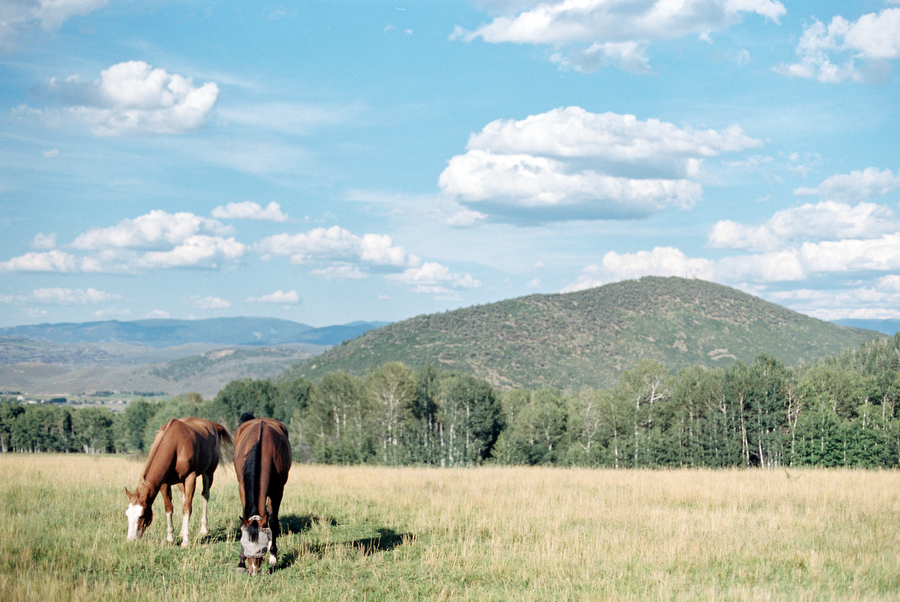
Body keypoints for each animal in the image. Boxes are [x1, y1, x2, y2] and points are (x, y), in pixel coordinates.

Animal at [232, 412, 292, 572]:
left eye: (261, 548)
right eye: (245, 542)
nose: (253, 570)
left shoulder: (278, 490)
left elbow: (273, 521)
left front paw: (273, 557)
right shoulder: (242, 487)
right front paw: (241, 562)